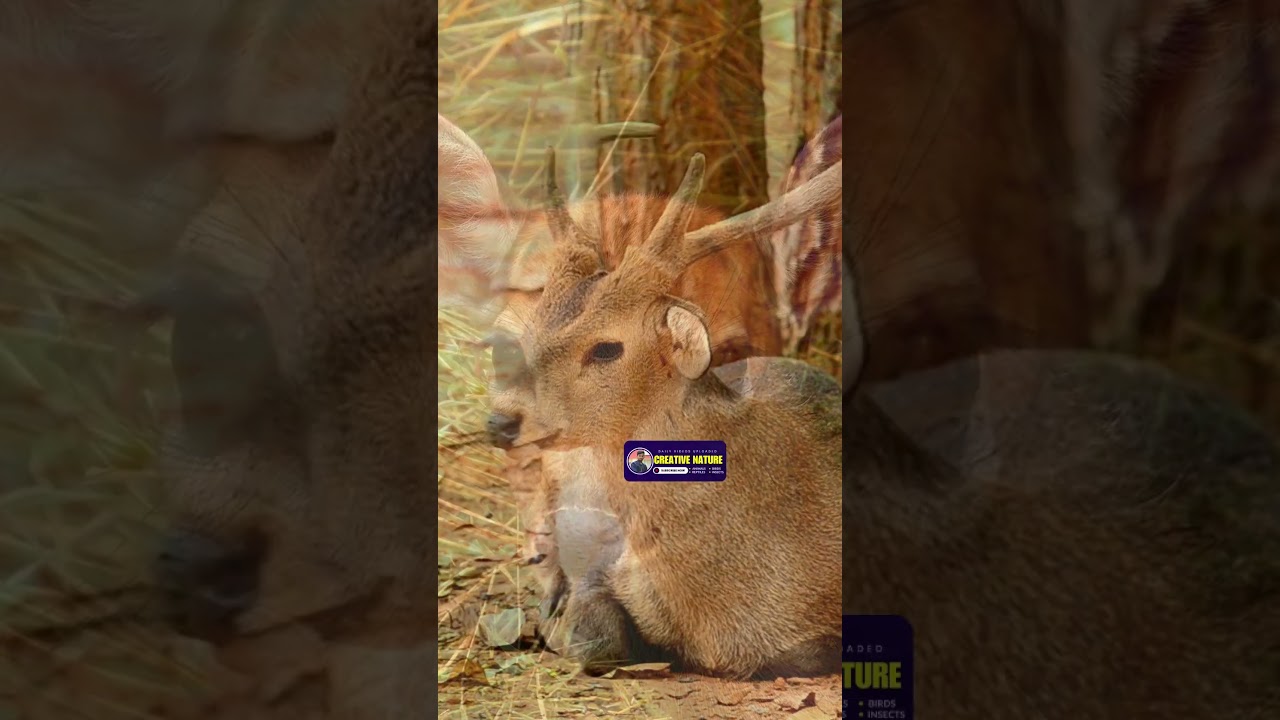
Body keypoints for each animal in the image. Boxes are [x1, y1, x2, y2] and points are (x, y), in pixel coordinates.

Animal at [497, 148, 844, 679]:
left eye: (606, 348)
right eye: (529, 332)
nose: (500, 418)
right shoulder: (604, 566)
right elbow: (597, 635)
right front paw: (554, 624)